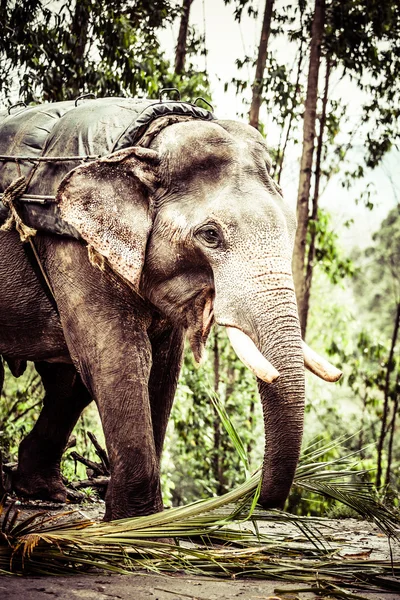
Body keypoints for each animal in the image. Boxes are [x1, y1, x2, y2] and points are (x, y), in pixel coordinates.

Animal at [0, 98, 340, 520]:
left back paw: (47, 493)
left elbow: (163, 367)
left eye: (292, 228)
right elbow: (118, 358)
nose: (257, 498)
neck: (149, 140)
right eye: (210, 235)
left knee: (67, 383)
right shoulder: (73, 246)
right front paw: (135, 525)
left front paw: (145, 522)